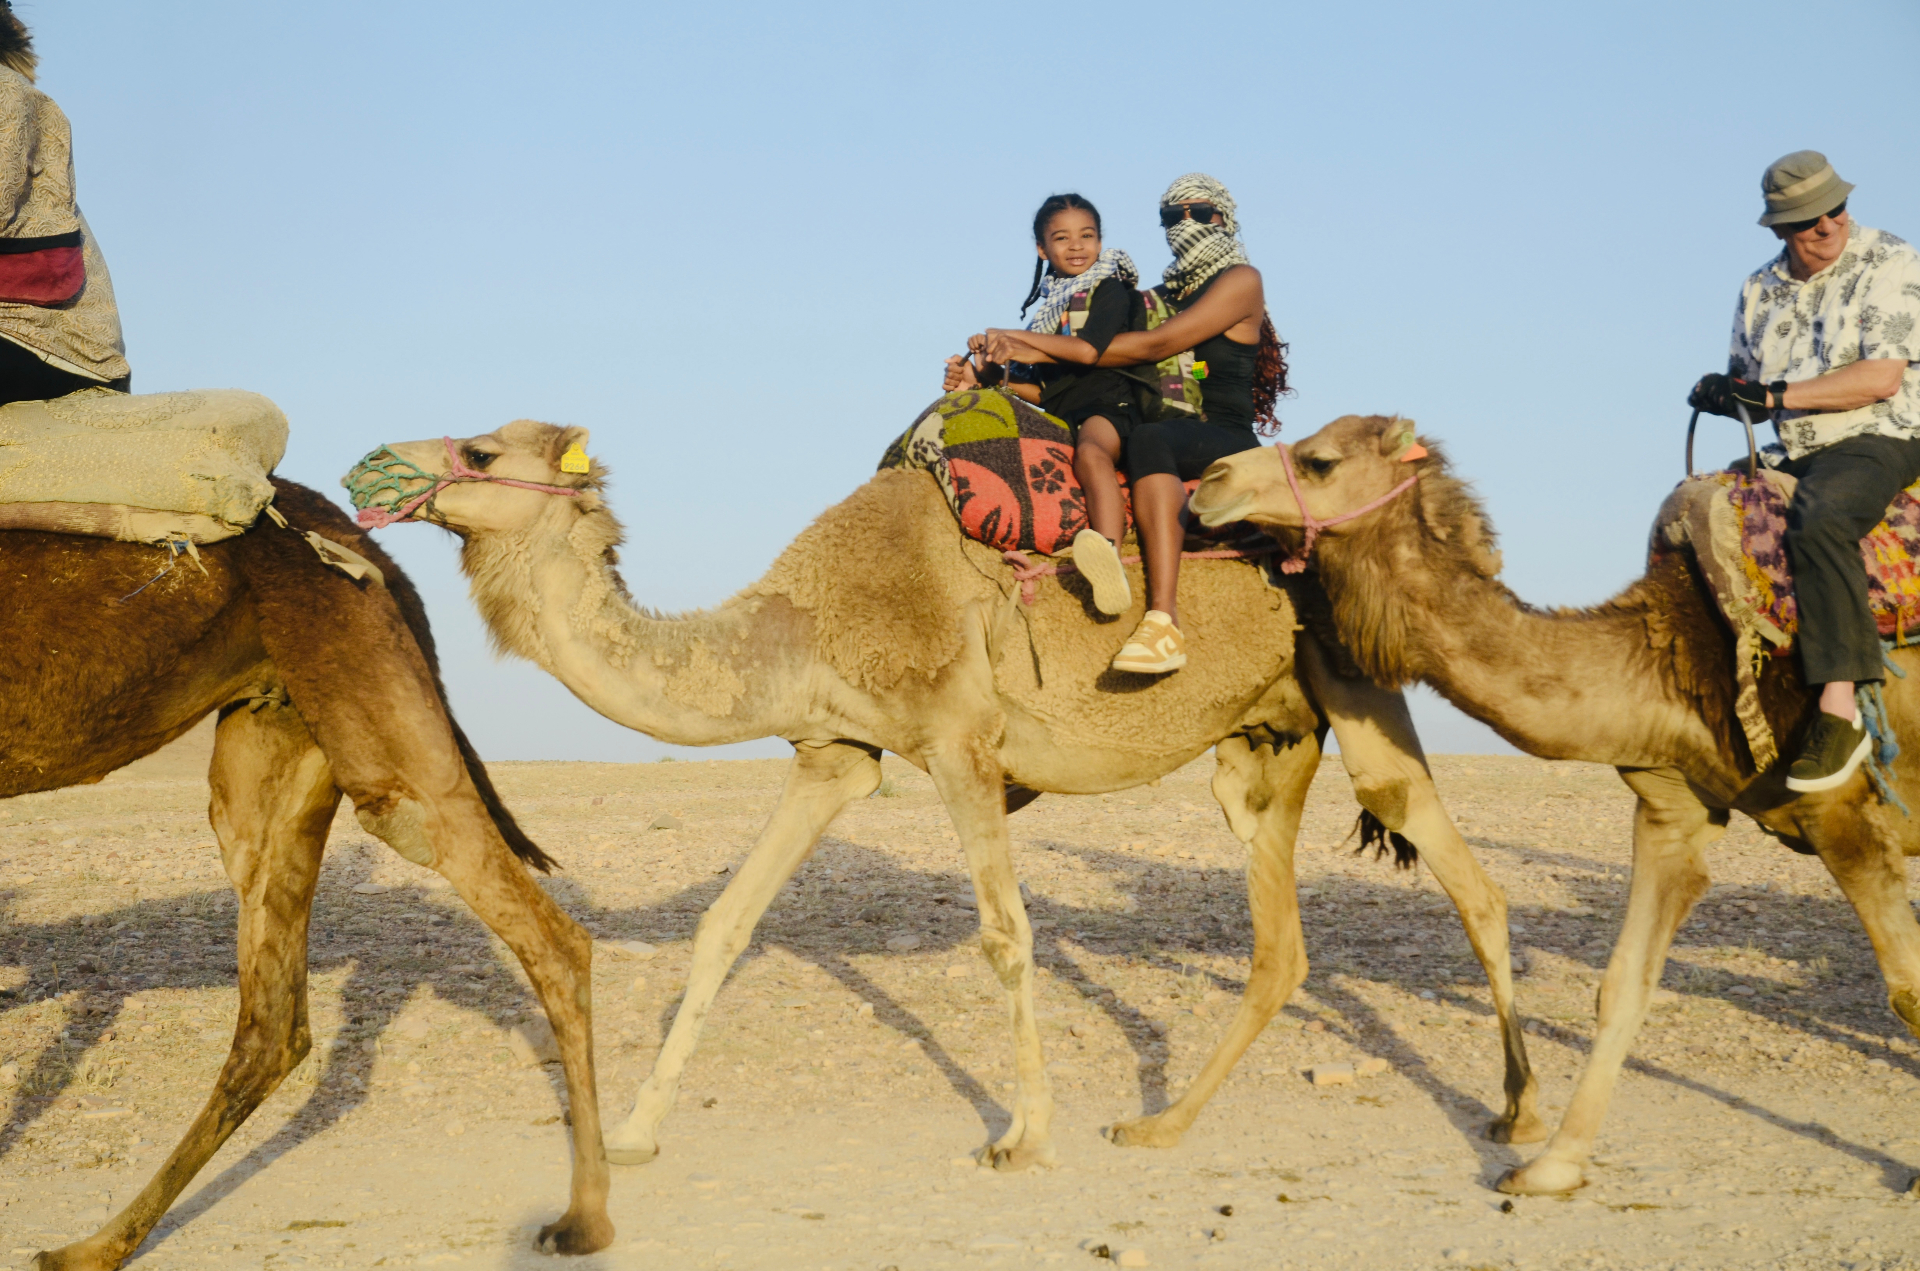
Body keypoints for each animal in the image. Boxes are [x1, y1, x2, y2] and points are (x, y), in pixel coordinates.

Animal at [1, 480, 613, 1269]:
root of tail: (365, 547)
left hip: (365, 698)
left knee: (547, 935)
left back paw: (584, 1217)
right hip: (281, 730)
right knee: (272, 1023)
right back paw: (100, 1244)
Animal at [346, 419, 1550, 1172]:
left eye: (482, 447)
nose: (364, 470)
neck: (802, 619)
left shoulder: (961, 737)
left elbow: (1007, 934)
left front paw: (1022, 1135)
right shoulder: (834, 750)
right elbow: (724, 924)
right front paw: (636, 1131)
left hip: (1357, 676)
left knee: (1459, 869)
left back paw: (1524, 1112)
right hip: (1267, 739)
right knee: (1286, 939)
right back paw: (1161, 1127)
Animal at [1190, 413, 1920, 1196]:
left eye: (1319, 460)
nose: (1209, 482)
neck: (1678, 654)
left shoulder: (1843, 814)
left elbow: (1907, 989)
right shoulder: (1672, 809)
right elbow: (1622, 985)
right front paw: (1553, 1165)